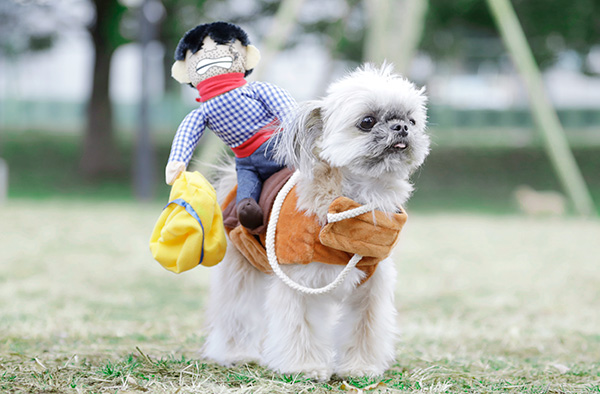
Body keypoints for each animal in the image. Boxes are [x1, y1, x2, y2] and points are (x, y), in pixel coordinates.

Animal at [204, 63, 428, 380]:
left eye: (412, 120)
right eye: (367, 121)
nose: (402, 128)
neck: (359, 202)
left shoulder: (371, 286)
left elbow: (364, 327)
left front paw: (360, 367)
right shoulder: (299, 281)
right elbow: (301, 326)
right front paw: (305, 367)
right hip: (242, 265)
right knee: (237, 310)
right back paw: (236, 354)